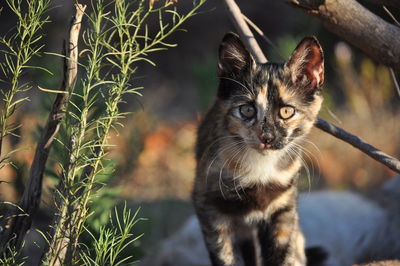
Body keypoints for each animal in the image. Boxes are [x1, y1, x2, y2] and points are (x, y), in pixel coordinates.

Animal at [191, 33, 324, 266]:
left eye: (286, 111)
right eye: (247, 110)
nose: (267, 137)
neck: (261, 166)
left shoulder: (283, 206)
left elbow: (282, 254)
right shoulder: (209, 206)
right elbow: (225, 256)